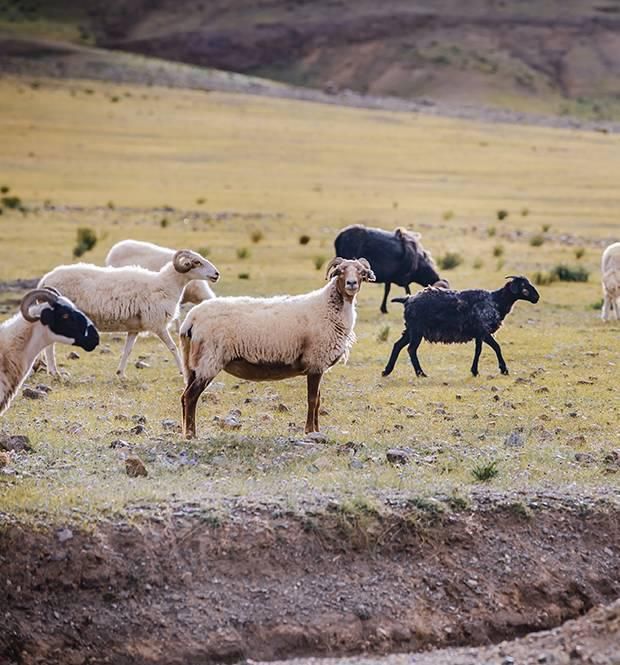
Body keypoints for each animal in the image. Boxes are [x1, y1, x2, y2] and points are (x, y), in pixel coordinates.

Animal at [39, 249, 220, 376]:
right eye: (196, 262)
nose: (217, 274)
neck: (165, 285)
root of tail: (45, 279)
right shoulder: (157, 324)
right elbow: (173, 347)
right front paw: (182, 371)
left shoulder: (135, 328)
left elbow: (127, 350)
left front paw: (120, 373)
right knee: (49, 345)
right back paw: (54, 372)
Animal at [177, 256, 376, 438]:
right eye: (340, 271)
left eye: (361, 272)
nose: (351, 283)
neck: (328, 307)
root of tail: (191, 319)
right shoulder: (316, 361)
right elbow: (312, 400)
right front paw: (309, 431)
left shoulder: (318, 365)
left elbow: (318, 400)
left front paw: (318, 431)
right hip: (208, 360)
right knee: (191, 396)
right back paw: (191, 434)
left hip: (192, 363)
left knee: (184, 396)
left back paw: (186, 431)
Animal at [382, 274, 536, 378]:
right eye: (524, 286)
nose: (537, 297)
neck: (497, 301)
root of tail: (407, 299)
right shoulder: (484, 331)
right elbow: (496, 347)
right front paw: (503, 370)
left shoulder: (479, 334)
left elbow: (478, 351)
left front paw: (475, 371)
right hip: (416, 330)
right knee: (411, 349)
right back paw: (421, 373)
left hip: (410, 330)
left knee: (397, 345)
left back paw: (387, 371)